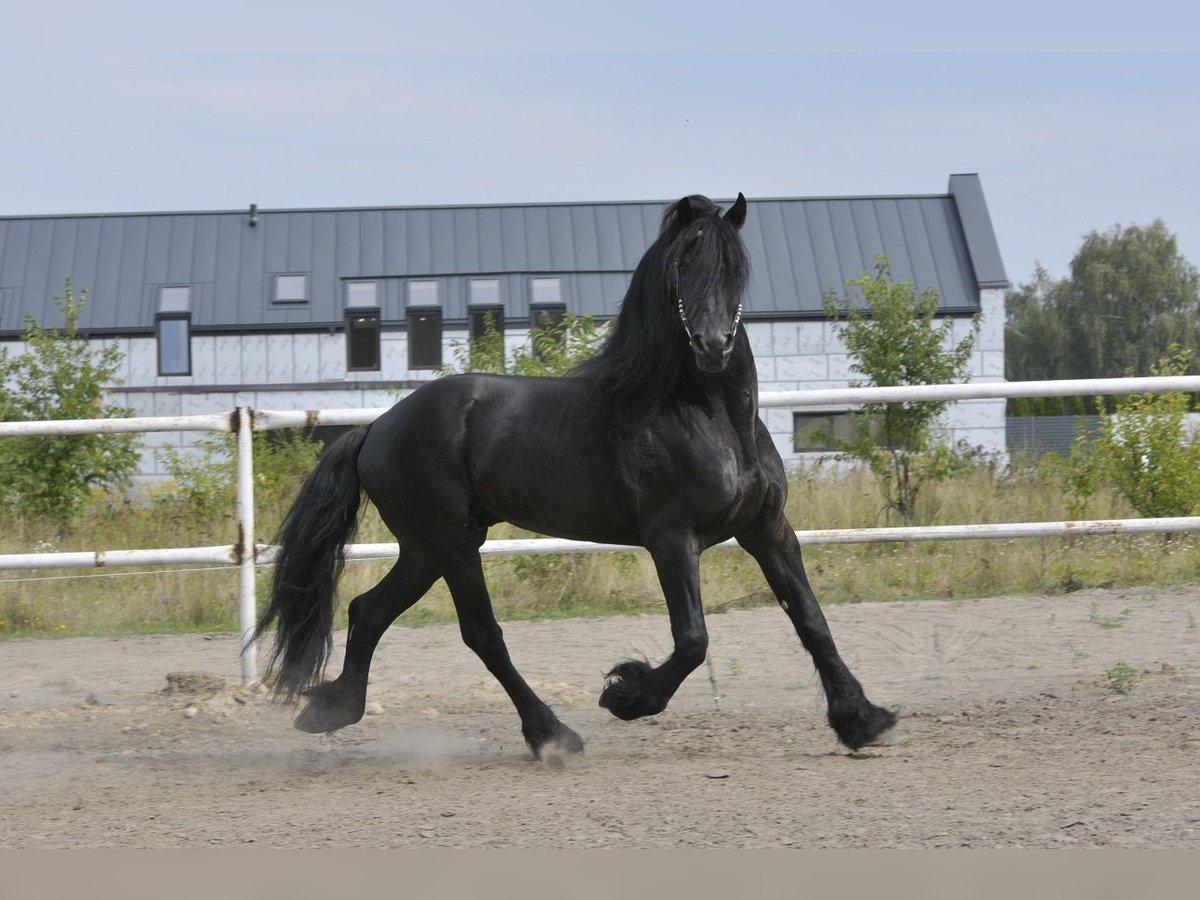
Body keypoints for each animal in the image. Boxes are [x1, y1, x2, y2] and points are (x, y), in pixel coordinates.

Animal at [254, 193, 897, 760]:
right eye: (685, 264)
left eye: (735, 266)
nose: (713, 345)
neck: (710, 417)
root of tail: (377, 427)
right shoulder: (672, 539)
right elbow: (693, 640)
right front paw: (626, 695)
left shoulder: (768, 530)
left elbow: (812, 621)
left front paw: (862, 720)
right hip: (452, 546)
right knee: (481, 633)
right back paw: (551, 735)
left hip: (424, 549)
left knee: (368, 611)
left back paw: (332, 709)